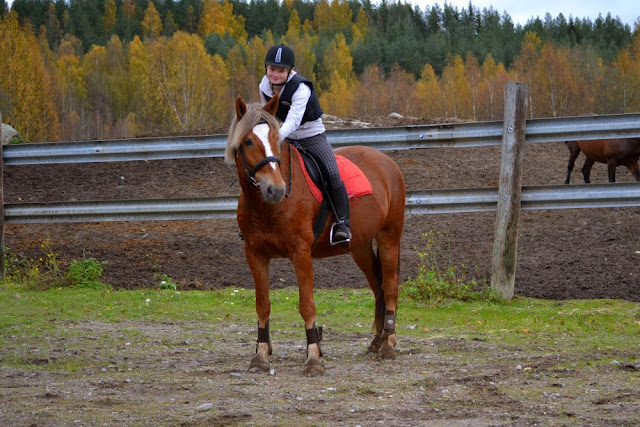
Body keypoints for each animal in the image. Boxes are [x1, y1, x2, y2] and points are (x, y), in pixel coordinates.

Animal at [226, 96, 406, 376]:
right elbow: (262, 304)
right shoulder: (255, 255)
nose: (275, 189)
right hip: (361, 247)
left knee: (390, 285)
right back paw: (377, 341)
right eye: (247, 141)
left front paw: (313, 357)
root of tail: (388, 163)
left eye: (276, 137)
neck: (269, 207)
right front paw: (261, 355)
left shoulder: (301, 253)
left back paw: (388, 343)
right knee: (377, 286)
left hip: (390, 236)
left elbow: (306, 304)